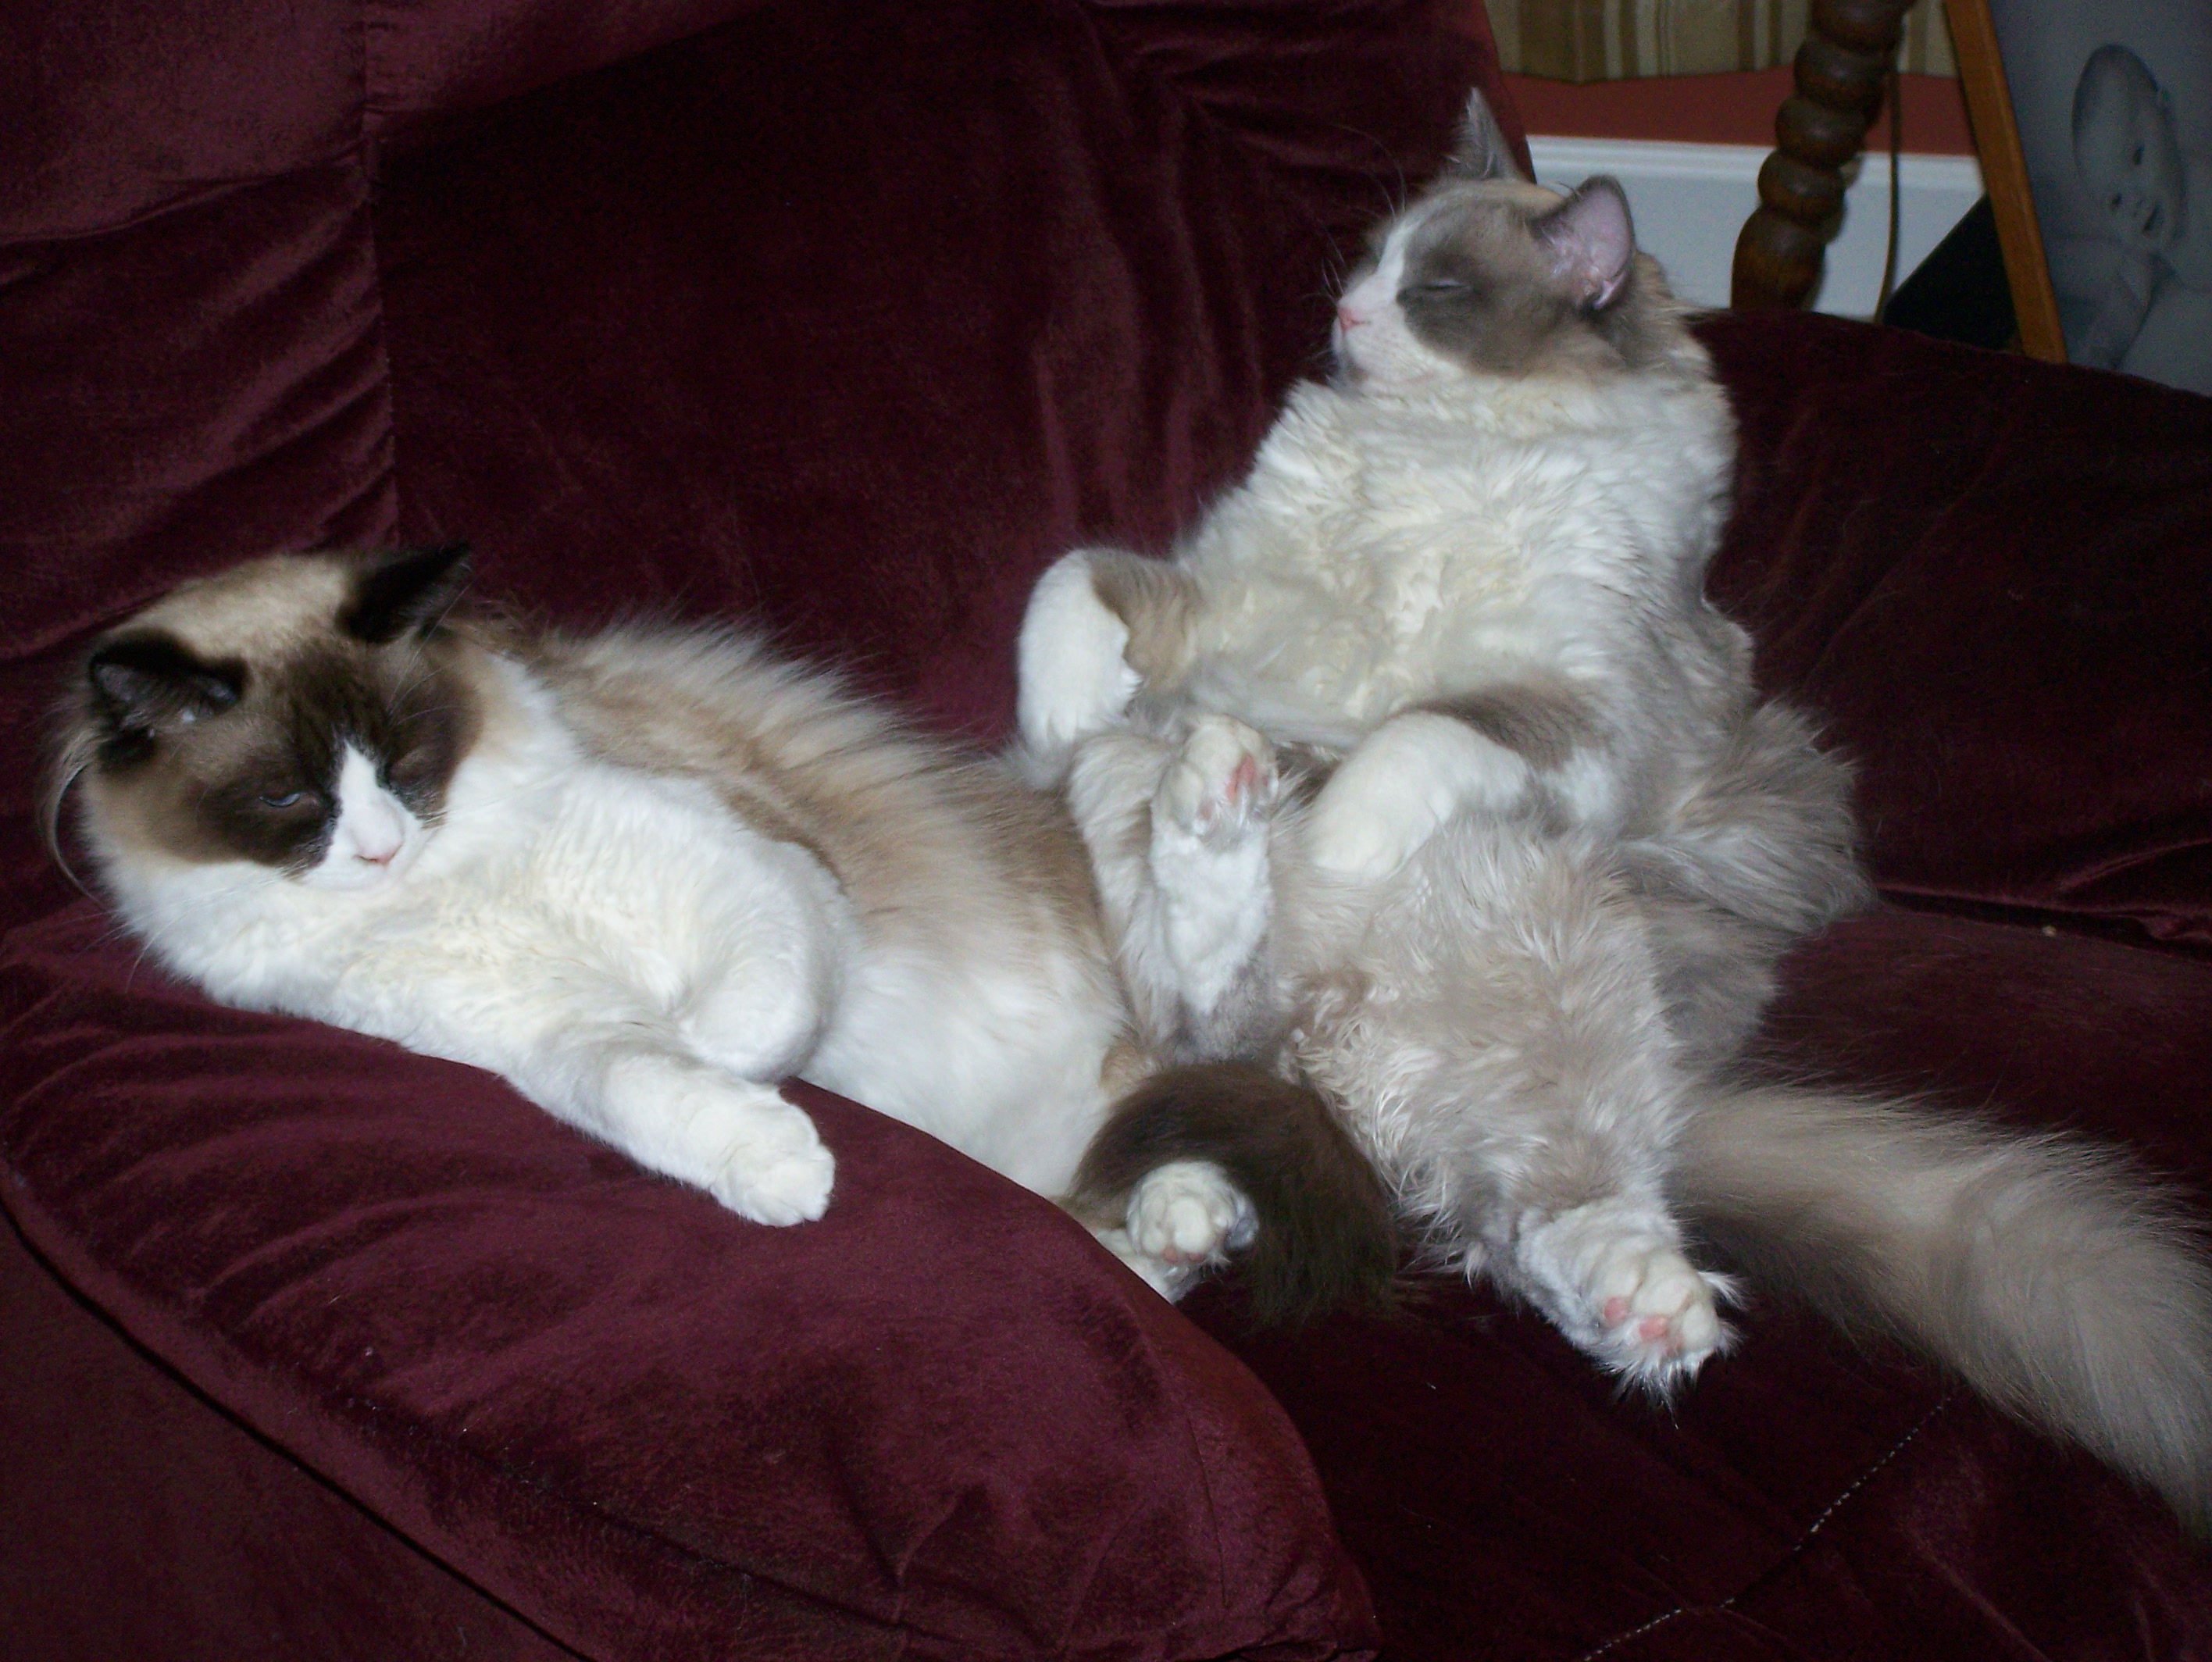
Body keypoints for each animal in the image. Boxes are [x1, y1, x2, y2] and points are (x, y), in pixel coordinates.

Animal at [46, 543, 1394, 1324]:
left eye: (405, 759)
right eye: (292, 803)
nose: (379, 845)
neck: (444, 890)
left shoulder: (762, 877)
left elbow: (739, 1025)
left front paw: (767, 1095)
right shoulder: (535, 1035)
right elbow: (643, 1082)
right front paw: (775, 1166)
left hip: (1112, 815)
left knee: (1199, 1010)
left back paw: (1216, 787)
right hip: (1079, 1157)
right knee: (1145, 1208)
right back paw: (1181, 1217)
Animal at [1017, 93, 2212, 1533]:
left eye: (1431, 291)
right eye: (1363, 266)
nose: (1346, 320)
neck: (1443, 452)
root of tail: (1324, 1057)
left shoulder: (1567, 715)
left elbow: (1399, 745)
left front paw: (1336, 843)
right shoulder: (1209, 599)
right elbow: (1070, 581)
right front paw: (1059, 706)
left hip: (1541, 965)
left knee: (1541, 1210)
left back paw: (1636, 1300)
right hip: (1170, 865)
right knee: (1201, 1022)